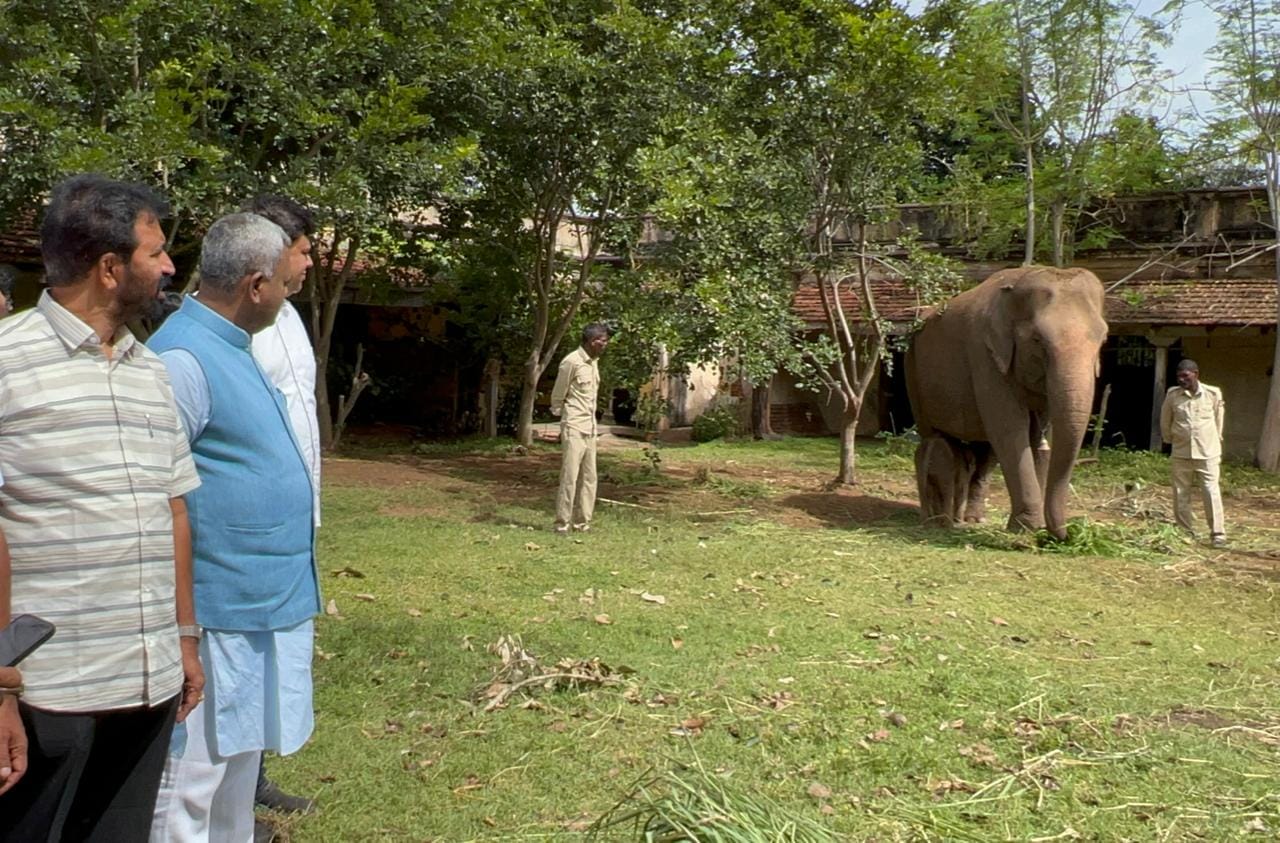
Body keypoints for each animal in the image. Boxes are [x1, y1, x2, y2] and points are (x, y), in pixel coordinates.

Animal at [901, 266, 1111, 539]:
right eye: (1037, 340)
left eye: (1103, 340)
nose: (1068, 535)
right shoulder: (984, 355)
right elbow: (1010, 430)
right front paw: (1027, 527)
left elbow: (1032, 438)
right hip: (912, 368)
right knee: (939, 437)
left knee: (982, 451)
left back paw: (972, 519)